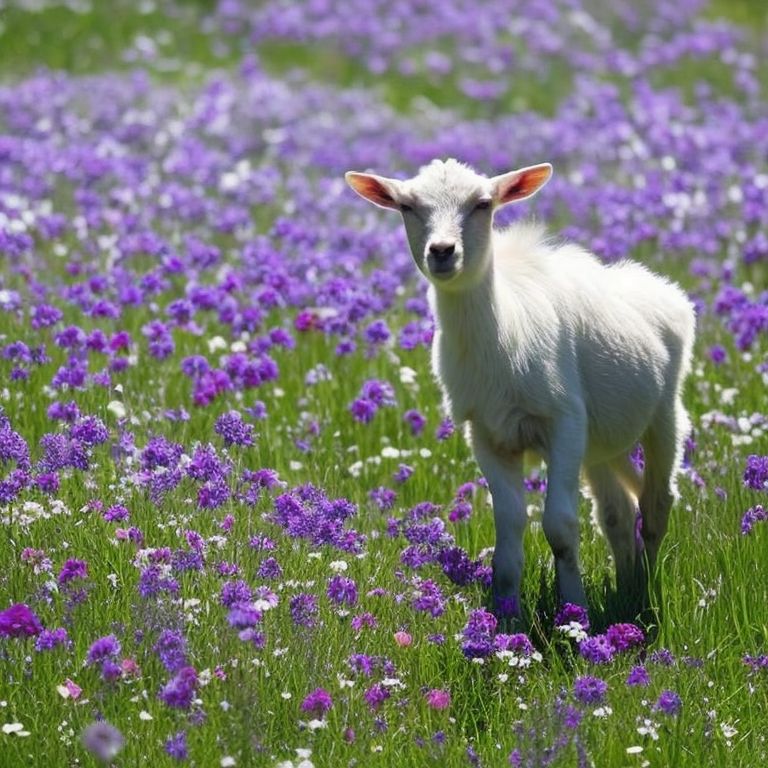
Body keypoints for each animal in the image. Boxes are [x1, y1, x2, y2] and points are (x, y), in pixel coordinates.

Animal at [345, 159, 695, 619]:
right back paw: (627, 585)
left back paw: (645, 590)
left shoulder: (564, 421)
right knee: (617, 513)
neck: (500, 332)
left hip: (665, 415)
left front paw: (575, 612)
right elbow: (509, 531)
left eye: (482, 204)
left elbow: (560, 527)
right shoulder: (486, 433)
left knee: (656, 505)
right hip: (602, 442)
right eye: (407, 206)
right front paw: (508, 614)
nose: (442, 251)